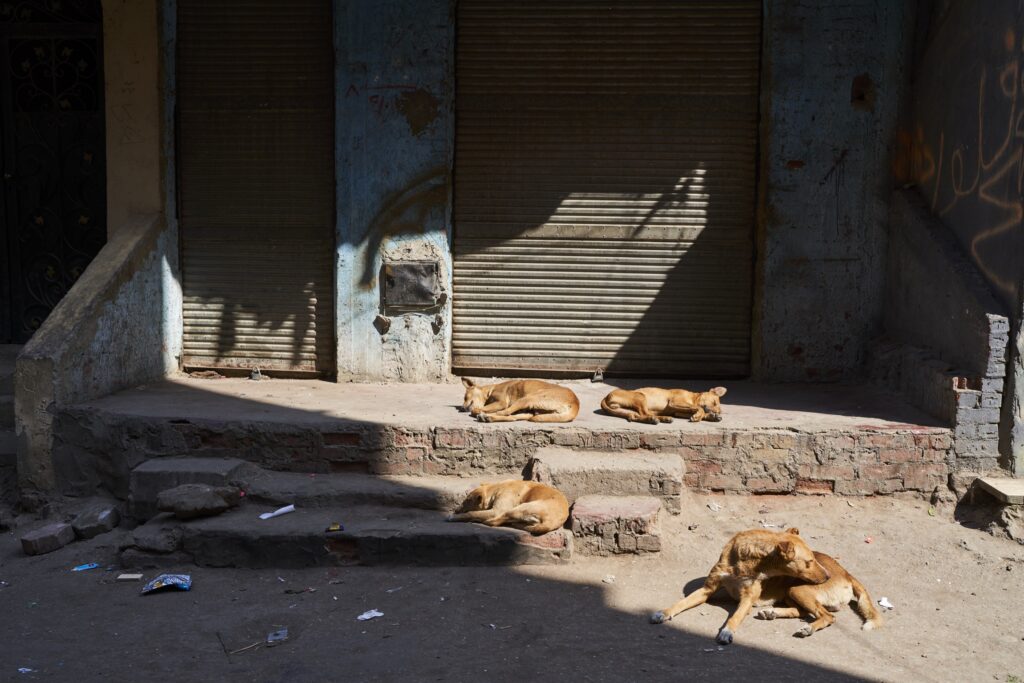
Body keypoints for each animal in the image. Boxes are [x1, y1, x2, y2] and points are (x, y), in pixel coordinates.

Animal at [598, 387, 729, 423]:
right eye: (714, 402)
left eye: (718, 410)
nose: (715, 412)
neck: (693, 397)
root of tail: (606, 396)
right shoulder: (675, 402)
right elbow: (700, 408)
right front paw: (700, 416)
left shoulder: (678, 411)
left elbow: (697, 411)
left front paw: (711, 416)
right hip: (640, 396)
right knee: (643, 413)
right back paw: (655, 419)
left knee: (635, 416)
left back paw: (662, 418)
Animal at [647, 528, 831, 643]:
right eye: (809, 562)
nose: (828, 576)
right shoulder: (707, 589)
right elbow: (681, 603)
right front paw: (664, 613)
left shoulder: (748, 598)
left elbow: (735, 617)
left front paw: (726, 632)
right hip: (791, 593)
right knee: (802, 611)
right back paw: (772, 613)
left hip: (797, 590)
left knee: (828, 616)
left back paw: (808, 628)